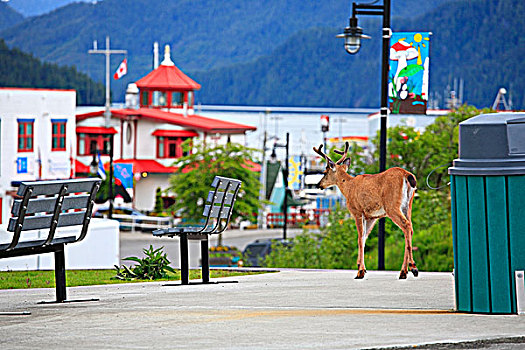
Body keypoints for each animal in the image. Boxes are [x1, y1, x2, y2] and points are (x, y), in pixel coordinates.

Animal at [312, 141, 418, 280]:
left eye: (325, 172)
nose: (318, 185)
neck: (348, 187)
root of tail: (407, 175)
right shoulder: (371, 217)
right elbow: (364, 237)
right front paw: (360, 267)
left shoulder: (357, 211)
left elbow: (359, 238)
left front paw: (360, 271)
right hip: (407, 205)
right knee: (410, 228)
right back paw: (403, 272)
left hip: (392, 206)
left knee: (406, 225)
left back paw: (413, 268)